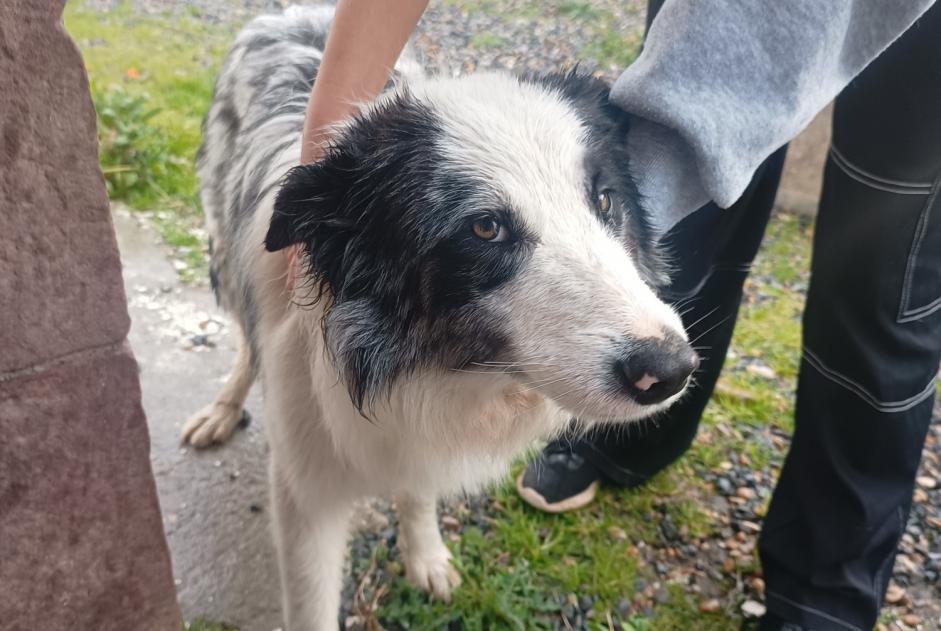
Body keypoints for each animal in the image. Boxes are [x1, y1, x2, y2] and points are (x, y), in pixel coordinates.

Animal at [185, 6, 696, 631]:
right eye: (485, 228)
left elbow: (419, 491)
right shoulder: (306, 497)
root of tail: (290, 12)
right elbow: (312, 605)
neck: (435, 370)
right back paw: (223, 409)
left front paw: (425, 554)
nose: (671, 370)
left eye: (604, 201)